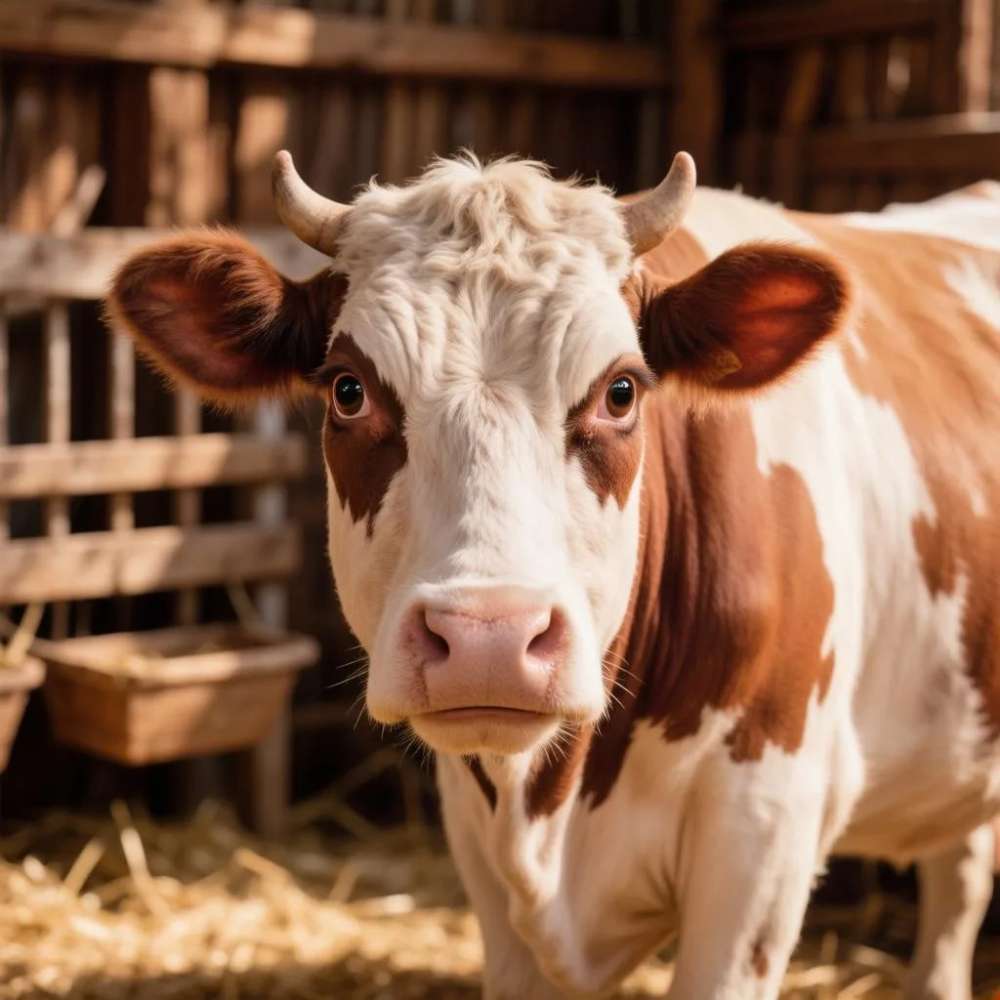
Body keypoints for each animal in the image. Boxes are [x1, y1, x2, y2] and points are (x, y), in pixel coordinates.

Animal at [106, 149, 1000, 999]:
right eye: (348, 390)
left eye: (621, 390)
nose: (488, 639)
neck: (556, 806)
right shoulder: (481, 846)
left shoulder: (765, 829)